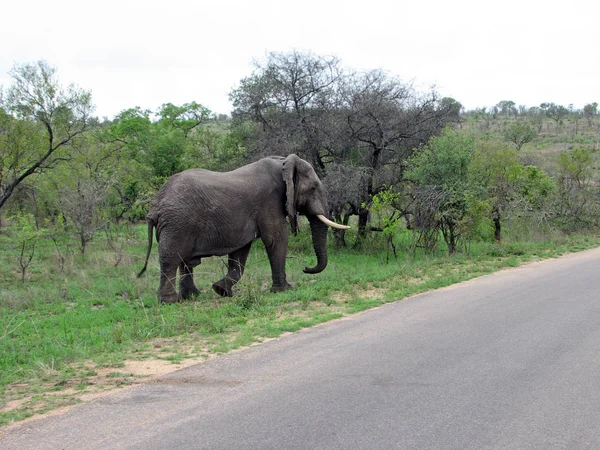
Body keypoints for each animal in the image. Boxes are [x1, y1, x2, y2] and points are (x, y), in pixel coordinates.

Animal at [137, 153, 350, 304]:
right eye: (313, 188)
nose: (305, 268)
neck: (284, 163)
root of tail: (155, 205)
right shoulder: (270, 201)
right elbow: (276, 240)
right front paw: (285, 290)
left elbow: (240, 253)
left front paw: (221, 290)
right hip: (177, 224)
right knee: (171, 258)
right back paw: (170, 302)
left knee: (185, 261)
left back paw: (192, 296)